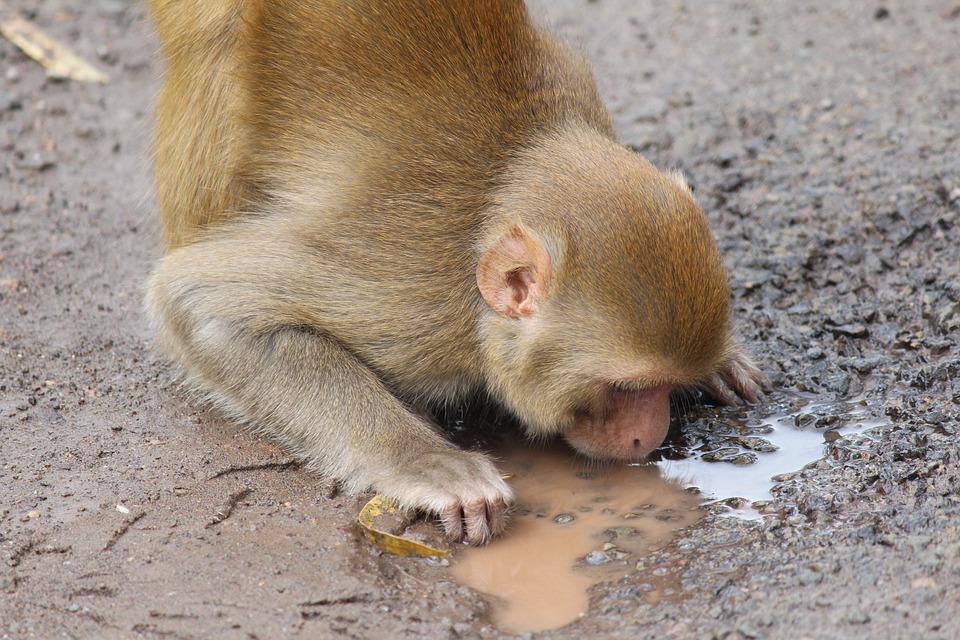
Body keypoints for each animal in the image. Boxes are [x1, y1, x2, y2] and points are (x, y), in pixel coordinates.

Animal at [146, 0, 768, 545]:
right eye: (629, 388)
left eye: (668, 384)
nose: (650, 435)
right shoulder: (410, 292)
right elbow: (199, 299)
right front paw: (429, 463)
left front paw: (727, 362)